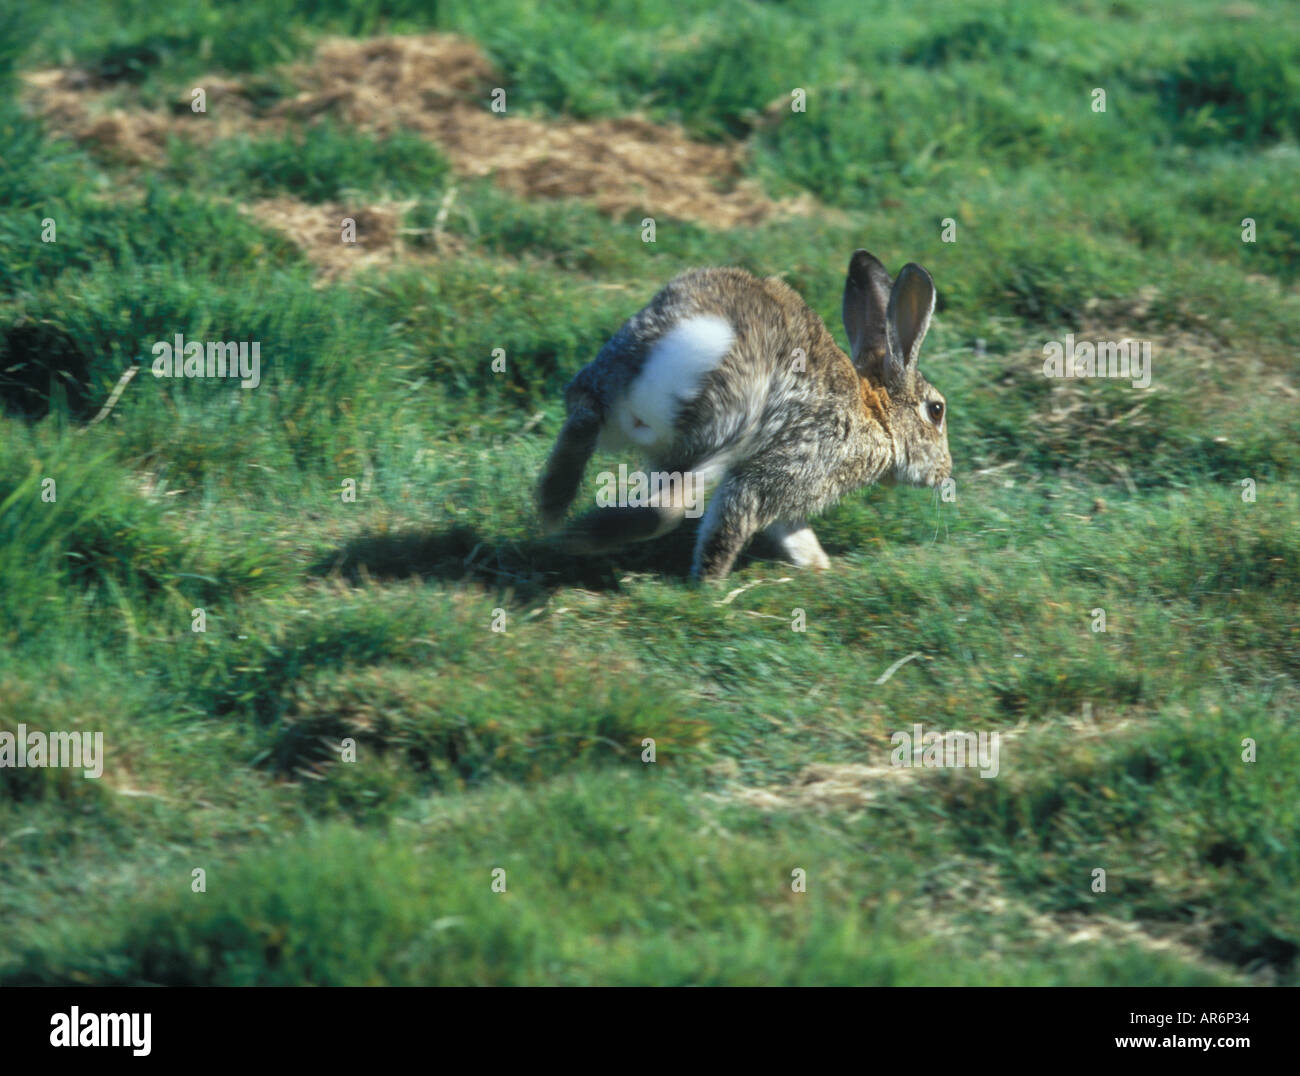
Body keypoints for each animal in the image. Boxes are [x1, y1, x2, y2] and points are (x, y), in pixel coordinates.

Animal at [536, 249, 950, 582]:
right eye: (936, 410)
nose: (945, 472)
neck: (877, 416)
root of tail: (697, 339)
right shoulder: (789, 469)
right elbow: (736, 520)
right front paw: (707, 587)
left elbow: (788, 528)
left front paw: (817, 564)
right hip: (729, 430)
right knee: (670, 507)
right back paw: (582, 538)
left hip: (615, 376)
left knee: (584, 418)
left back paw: (553, 509)